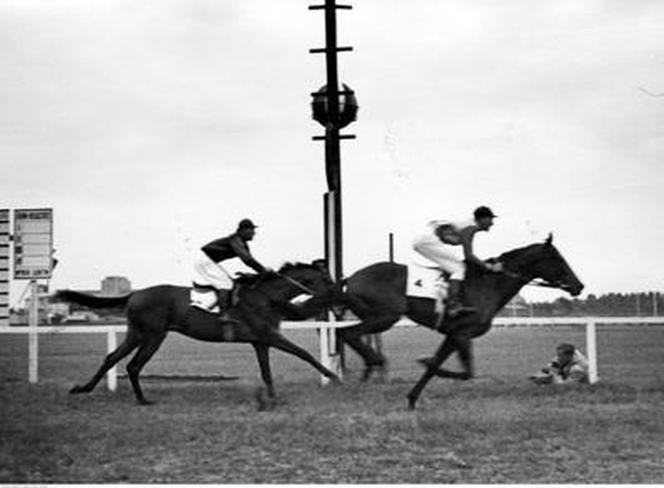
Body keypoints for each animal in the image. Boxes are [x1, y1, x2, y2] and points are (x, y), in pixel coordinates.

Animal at [54, 264, 340, 408]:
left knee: (111, 358)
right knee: (133, 365)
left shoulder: (260, 342)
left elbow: (267, 372)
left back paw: (84, 388)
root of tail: (135, 293)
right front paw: (332, 375)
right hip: (154, 336)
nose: (338, 290)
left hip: (135, 334)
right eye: (327, 279)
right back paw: (143, 400)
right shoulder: (270, 336)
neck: (266, 296)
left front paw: (271, 398)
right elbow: (304, 353)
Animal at [338, 234, 580, 410]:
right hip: (386, 317)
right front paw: (426, 368)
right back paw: (372, 362)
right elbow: (465, 372)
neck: (487, 285)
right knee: (348, 333)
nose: (579, 286)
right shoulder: (462, 334)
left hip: (376, 317)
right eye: (558, 259)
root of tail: (351, 278)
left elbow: (438, 366)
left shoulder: (455, 334)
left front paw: (413, 398)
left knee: (350, 334)